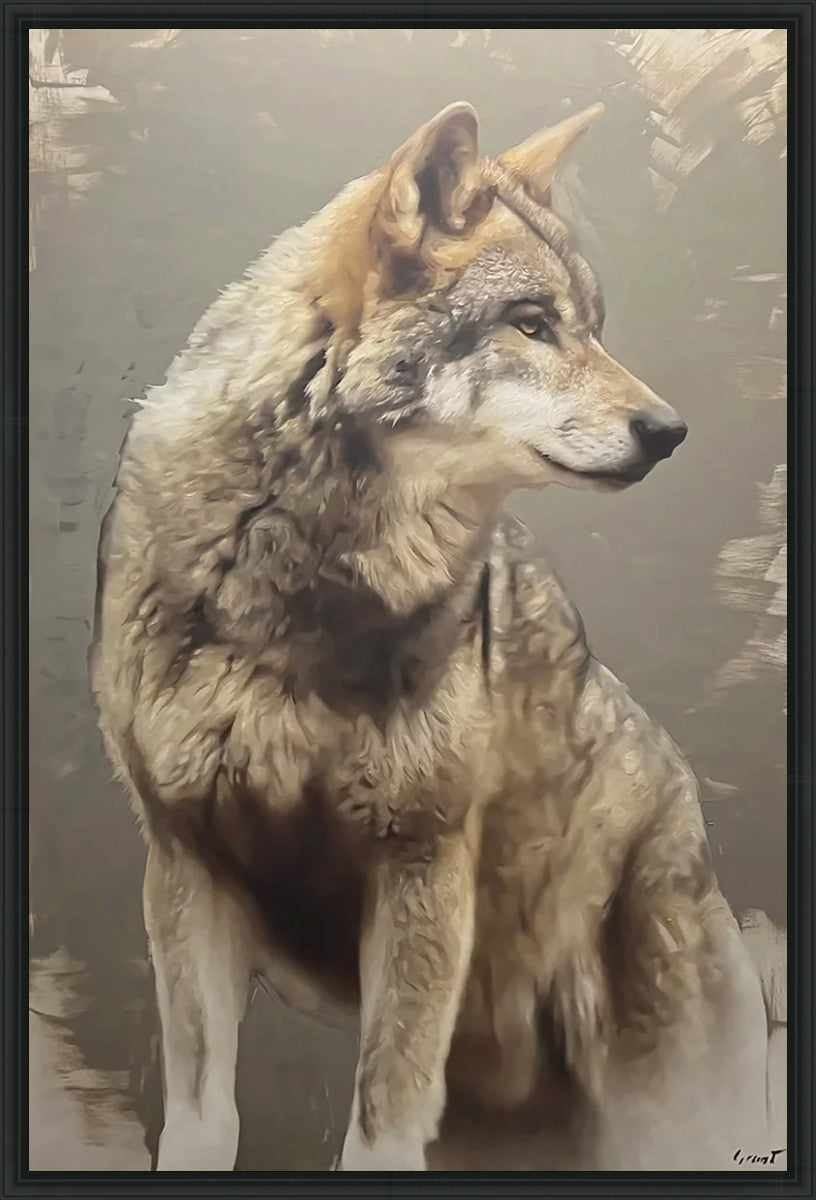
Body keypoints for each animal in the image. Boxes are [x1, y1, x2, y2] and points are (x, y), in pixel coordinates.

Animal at [91, 101, 774, 1171]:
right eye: (532, 324)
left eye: (593, 326)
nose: (670, 431)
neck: (295, 590)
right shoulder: (186, 865)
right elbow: (204, 1119)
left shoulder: (422, 867)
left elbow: (380, 1127)